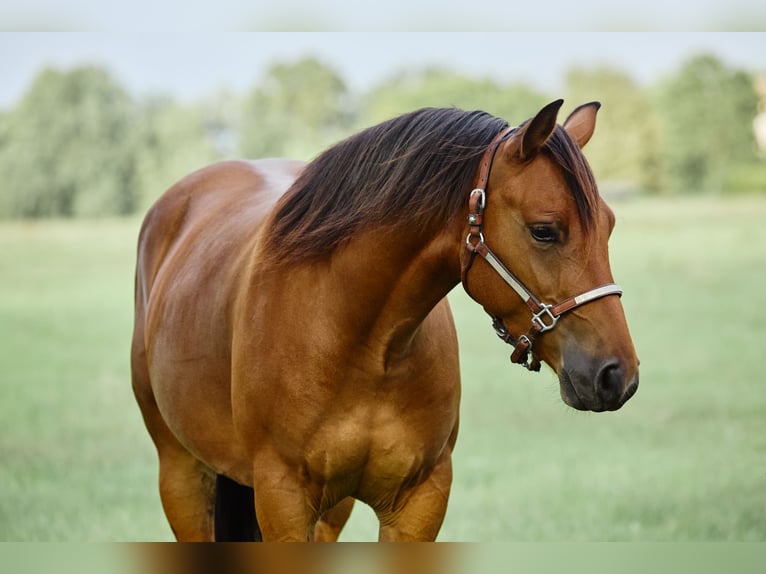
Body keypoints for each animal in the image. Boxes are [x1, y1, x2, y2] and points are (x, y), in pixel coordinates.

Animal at [134, 100, 640, 544]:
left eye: (609, 226)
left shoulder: (419, 501)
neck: (364, 345)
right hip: (181, 473)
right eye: (544, 231)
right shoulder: (282, 501)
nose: (617, 375)